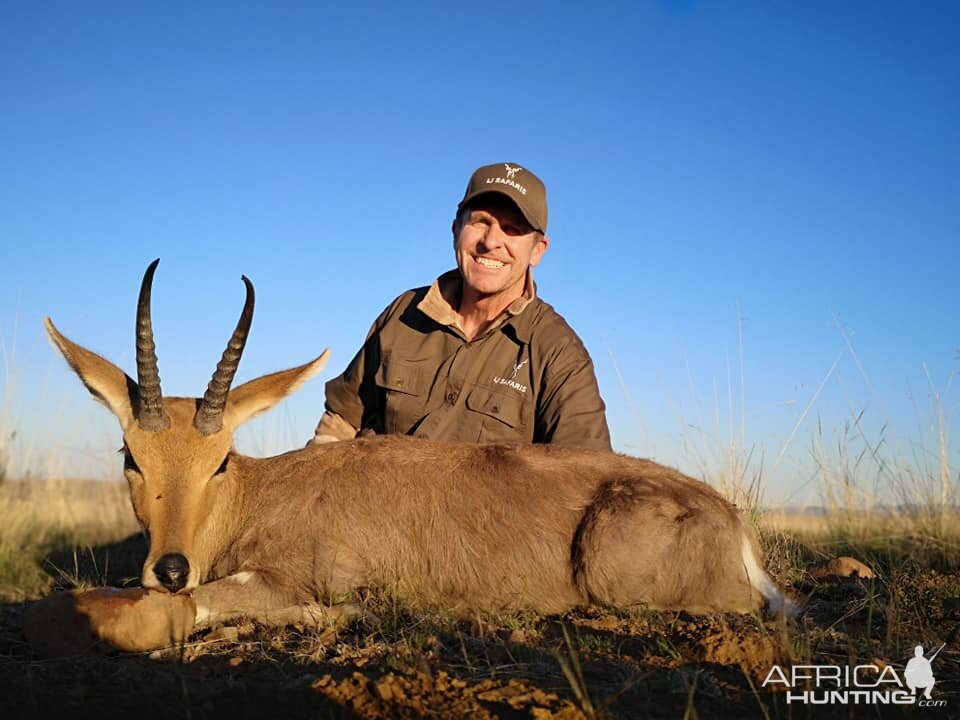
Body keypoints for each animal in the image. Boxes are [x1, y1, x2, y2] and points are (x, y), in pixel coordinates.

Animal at [33, 262, 792, 652]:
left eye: (219, 459)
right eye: (130, 455)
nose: (169, 566)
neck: (264, 492)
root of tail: (731, 520)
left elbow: (186, 607)